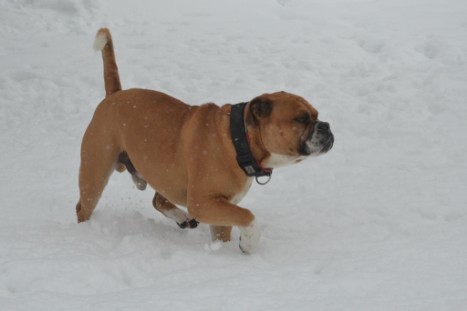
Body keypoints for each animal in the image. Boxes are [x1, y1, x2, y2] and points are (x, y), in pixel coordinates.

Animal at [76, 28, 332, 255]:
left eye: (316, 114)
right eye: (301, 118)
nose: (326, 126)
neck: (239, 142)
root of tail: (114, 95)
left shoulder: (221, 208)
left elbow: (227, 228)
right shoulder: (204, 203)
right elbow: (248, 215)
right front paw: (249, 243)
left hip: (163, 174)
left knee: (158, 200)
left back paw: (182, 218)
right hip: (95, 171)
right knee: (84, 206)